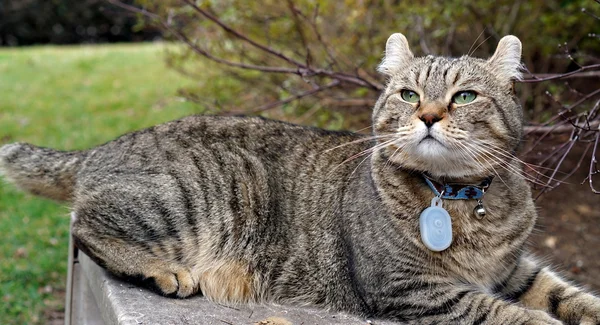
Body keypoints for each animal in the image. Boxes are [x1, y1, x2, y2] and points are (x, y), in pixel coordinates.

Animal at [1, 33, 600, 324]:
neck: (458, 198)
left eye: (466, 96)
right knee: (82, 224)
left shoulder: (513, 268)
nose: (429, 116)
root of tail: (103, 146)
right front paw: (541, 324)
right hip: (200, 191)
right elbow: (499, 312)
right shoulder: (413, 288)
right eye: (409, 94)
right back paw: (164, 271)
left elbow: (561, 292)